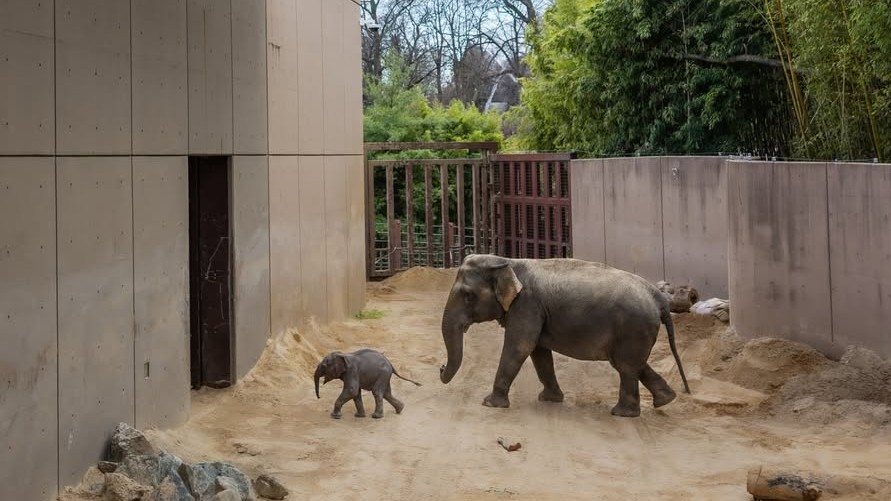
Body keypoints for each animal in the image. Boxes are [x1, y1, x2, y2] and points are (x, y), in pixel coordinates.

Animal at [439, 254, 690, 417]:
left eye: (468, 295)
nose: (440, 368)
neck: (508, 262)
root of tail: (659, 298)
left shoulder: (527, 305)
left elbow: (520, 346)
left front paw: (490, 404)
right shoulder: (535, 311)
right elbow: (539, 352)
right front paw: (550, 399)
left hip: (632, 327)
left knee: (626, 366)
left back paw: (622, 413)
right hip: (636, 330)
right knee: (633, 364)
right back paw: (666, 400)